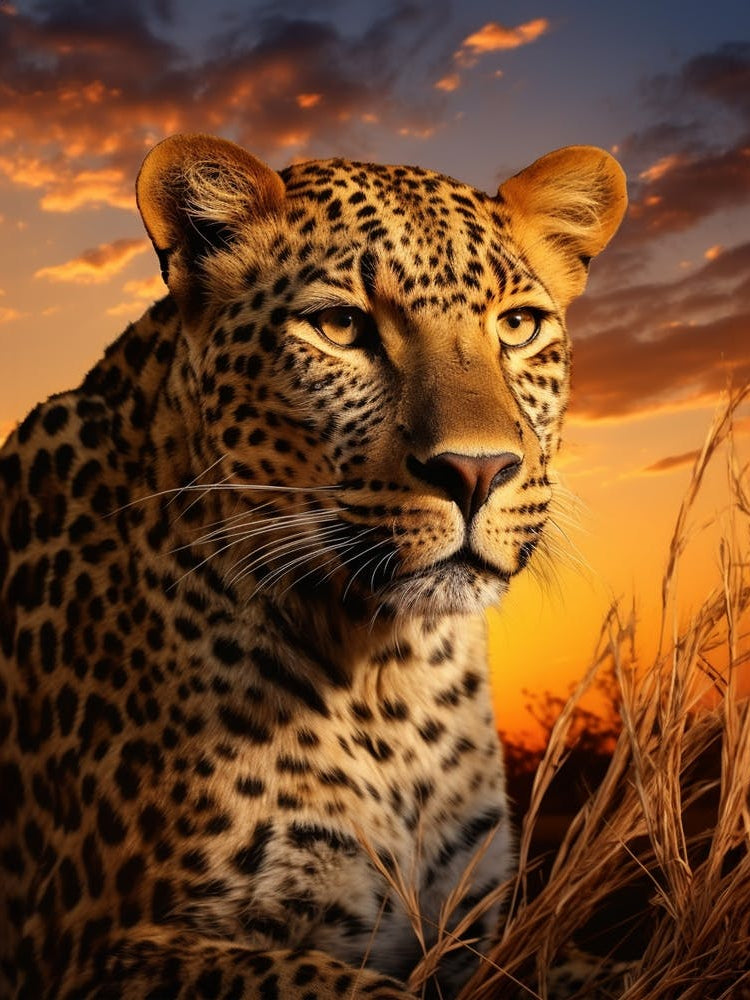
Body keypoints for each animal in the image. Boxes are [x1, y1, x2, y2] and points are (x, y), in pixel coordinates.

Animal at [0, 133, 626, 999]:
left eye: (520, 325)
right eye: (340, 326)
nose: (477, 471)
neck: (392, 676)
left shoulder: (473, 933)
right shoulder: (104, 955)